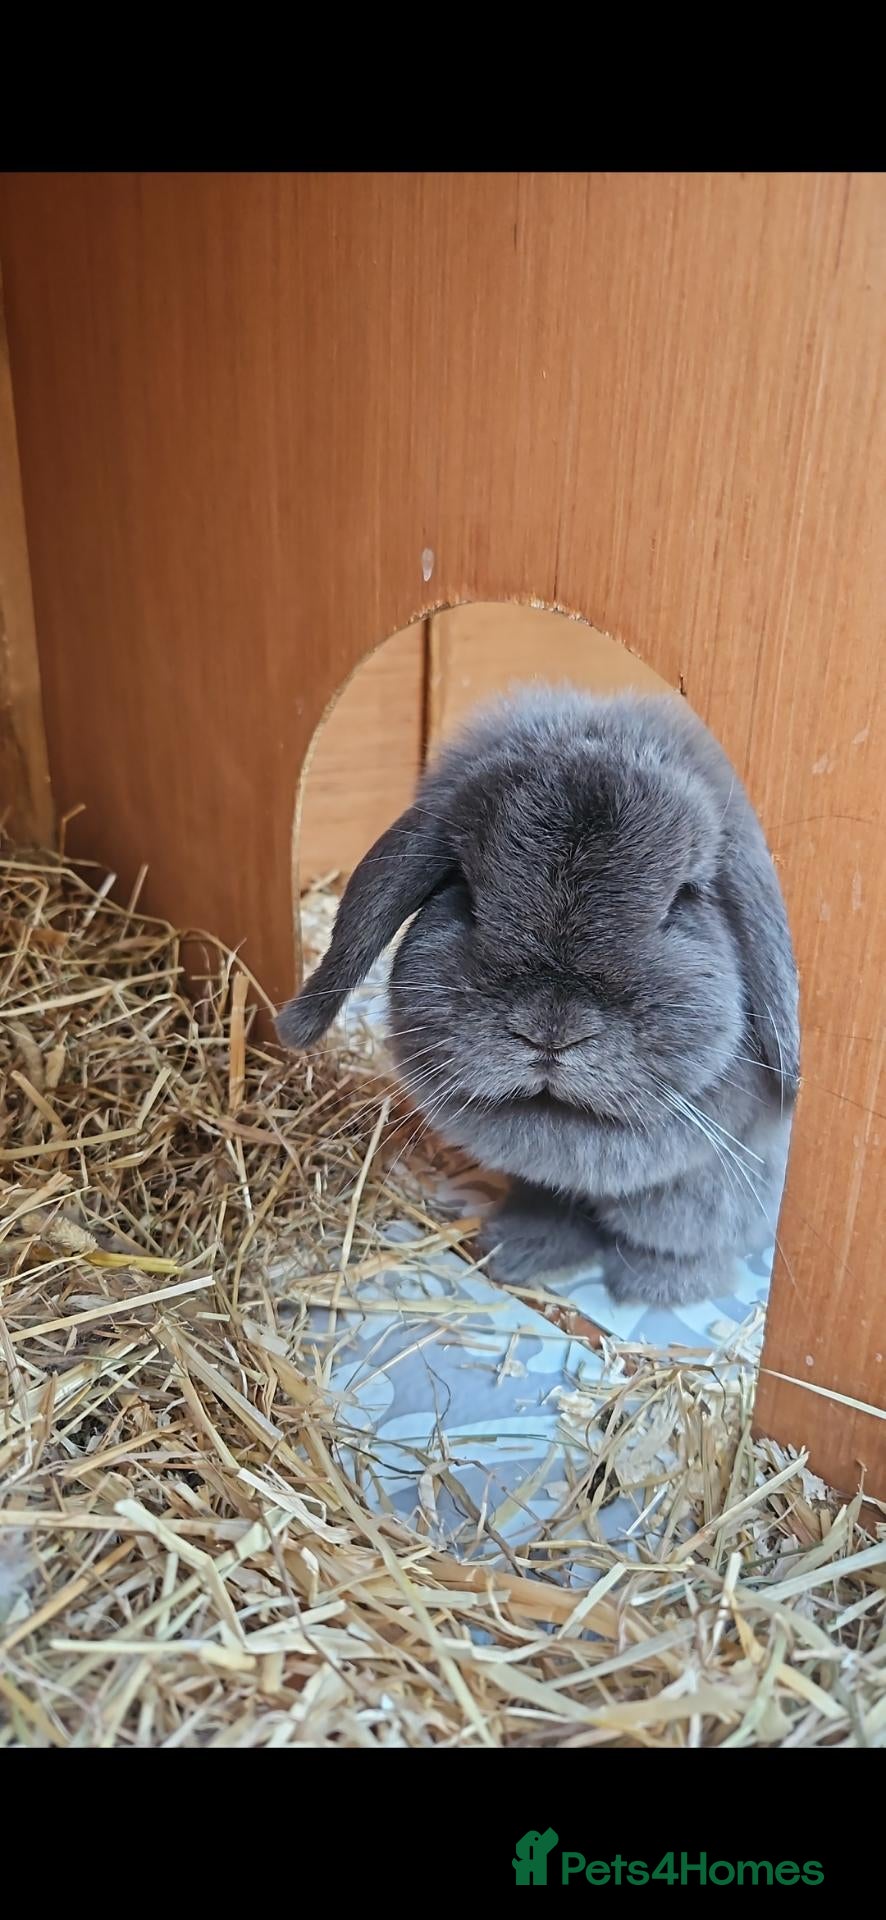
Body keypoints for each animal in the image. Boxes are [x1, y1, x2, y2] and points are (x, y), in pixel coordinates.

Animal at [277, 685, 799, 1307]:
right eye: (465, 891)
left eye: (682, 901)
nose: (551, 1032)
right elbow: (552, 1201)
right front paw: (516, 1250)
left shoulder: (708, 1181)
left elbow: (682, 1234)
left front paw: (657, 1286)